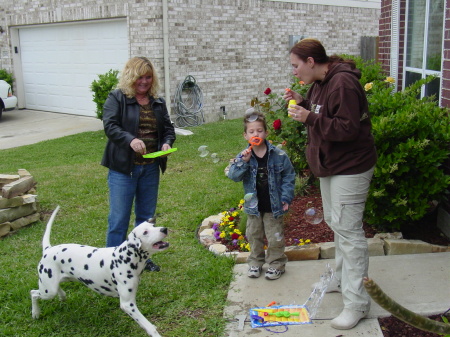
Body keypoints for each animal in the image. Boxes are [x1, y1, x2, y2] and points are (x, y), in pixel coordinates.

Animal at [30, 205, 169, 336]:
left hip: (55, 284)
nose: (164, 229)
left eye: (153, 226)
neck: (124, 258)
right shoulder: (128, 304)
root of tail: (48, 249)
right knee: (33, 293)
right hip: (48, 291)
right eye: (145, 232)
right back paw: (35, 313)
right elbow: (149, 326)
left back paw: (62, 296)